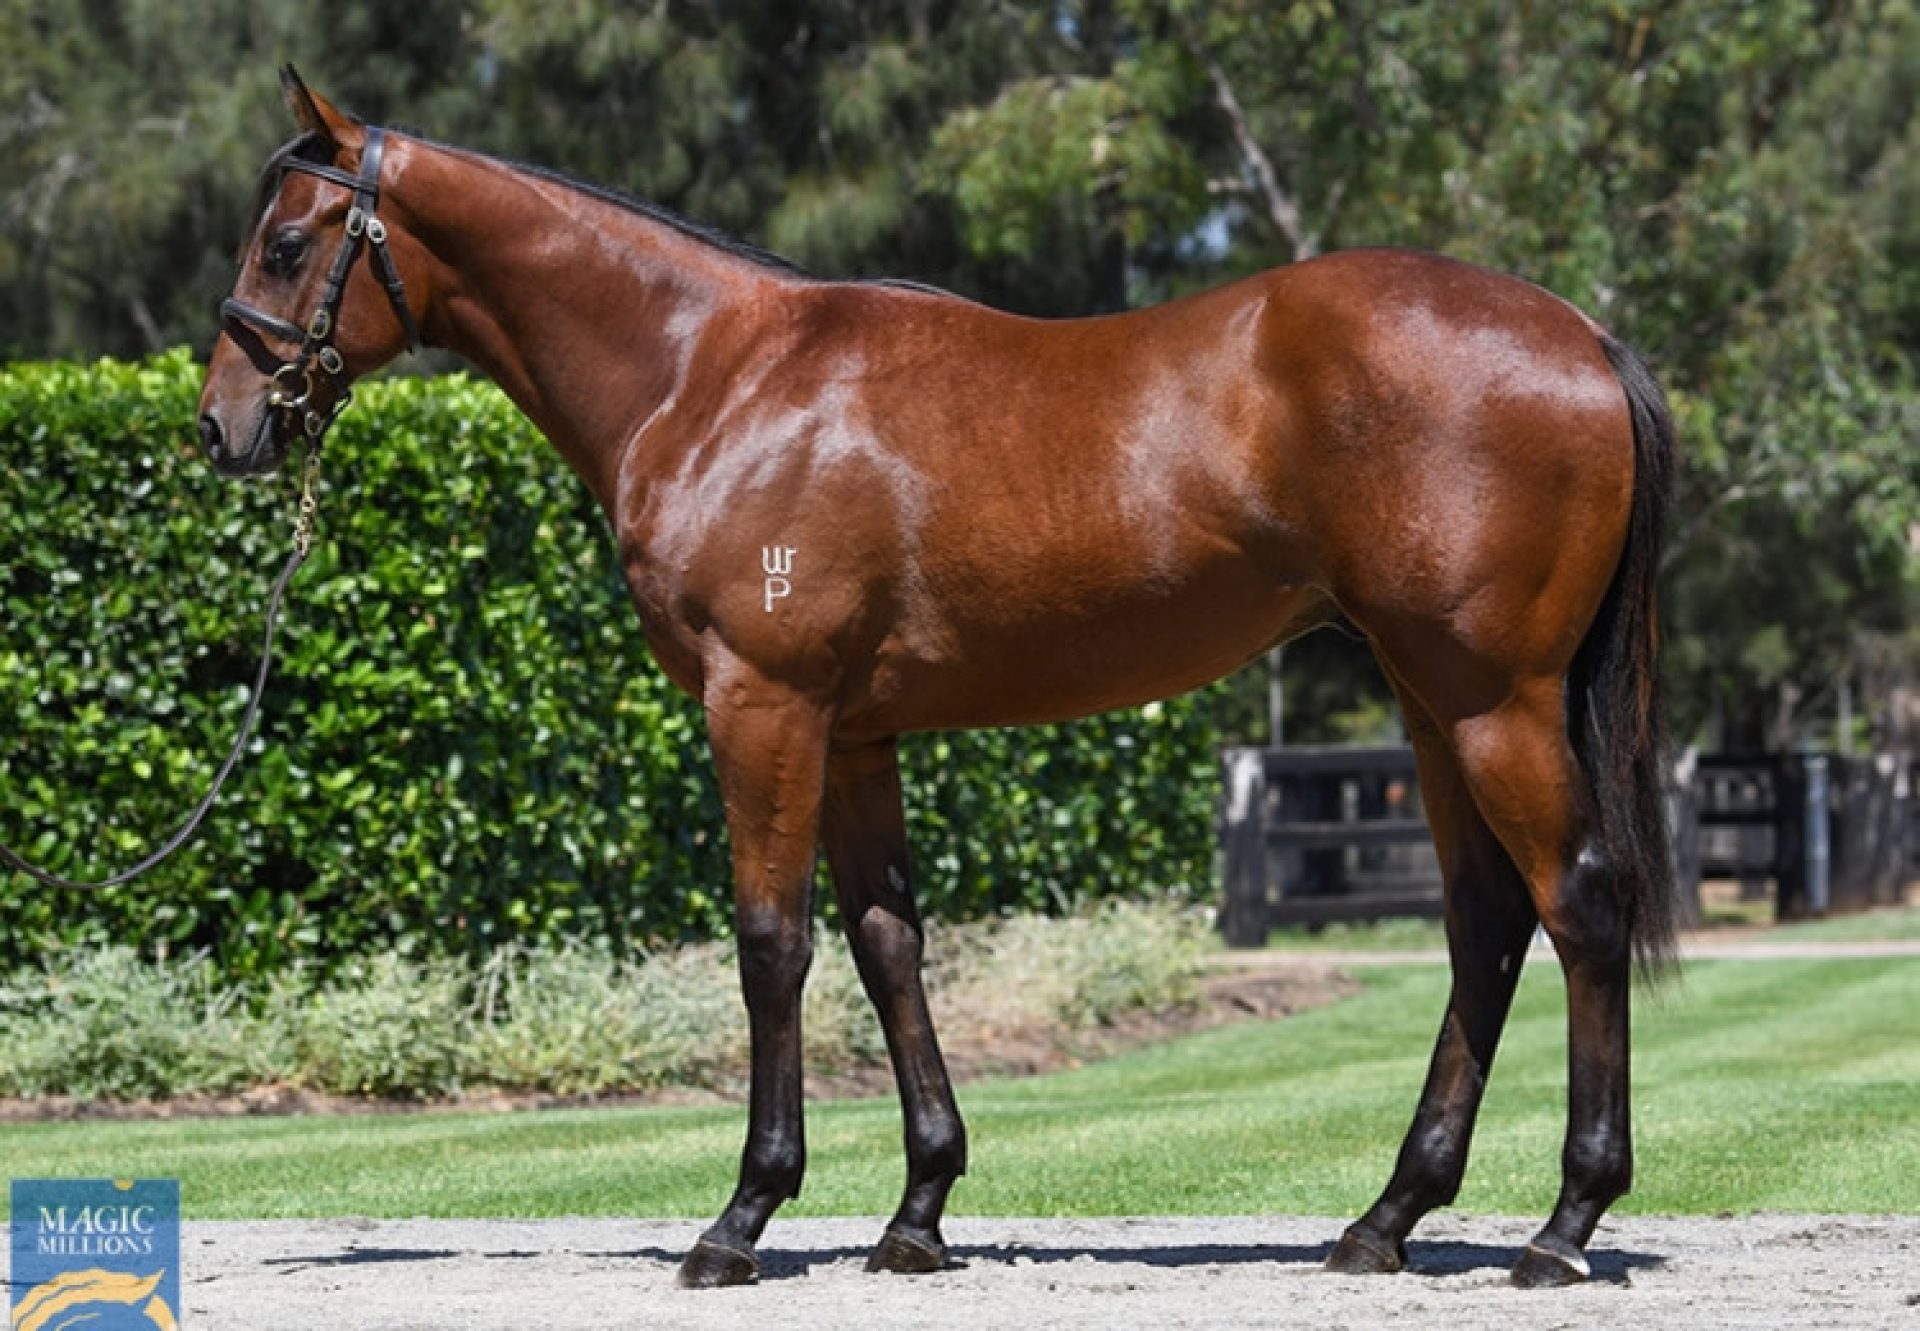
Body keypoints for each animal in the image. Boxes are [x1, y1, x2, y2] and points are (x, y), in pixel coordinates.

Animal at [194, 70, 1674, 1290]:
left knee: (1578, 901)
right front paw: (918, 1212)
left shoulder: (764, 706)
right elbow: (887, 941)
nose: (222, 427)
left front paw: (741, 1216)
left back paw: (1562, 1224)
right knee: (1485, 922)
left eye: (287, 242)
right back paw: (1386, 1218)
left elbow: (772, 943)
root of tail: (1582, 337)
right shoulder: (855, 735)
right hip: (1433, 705)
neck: (713, 375)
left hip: (1489, 700)